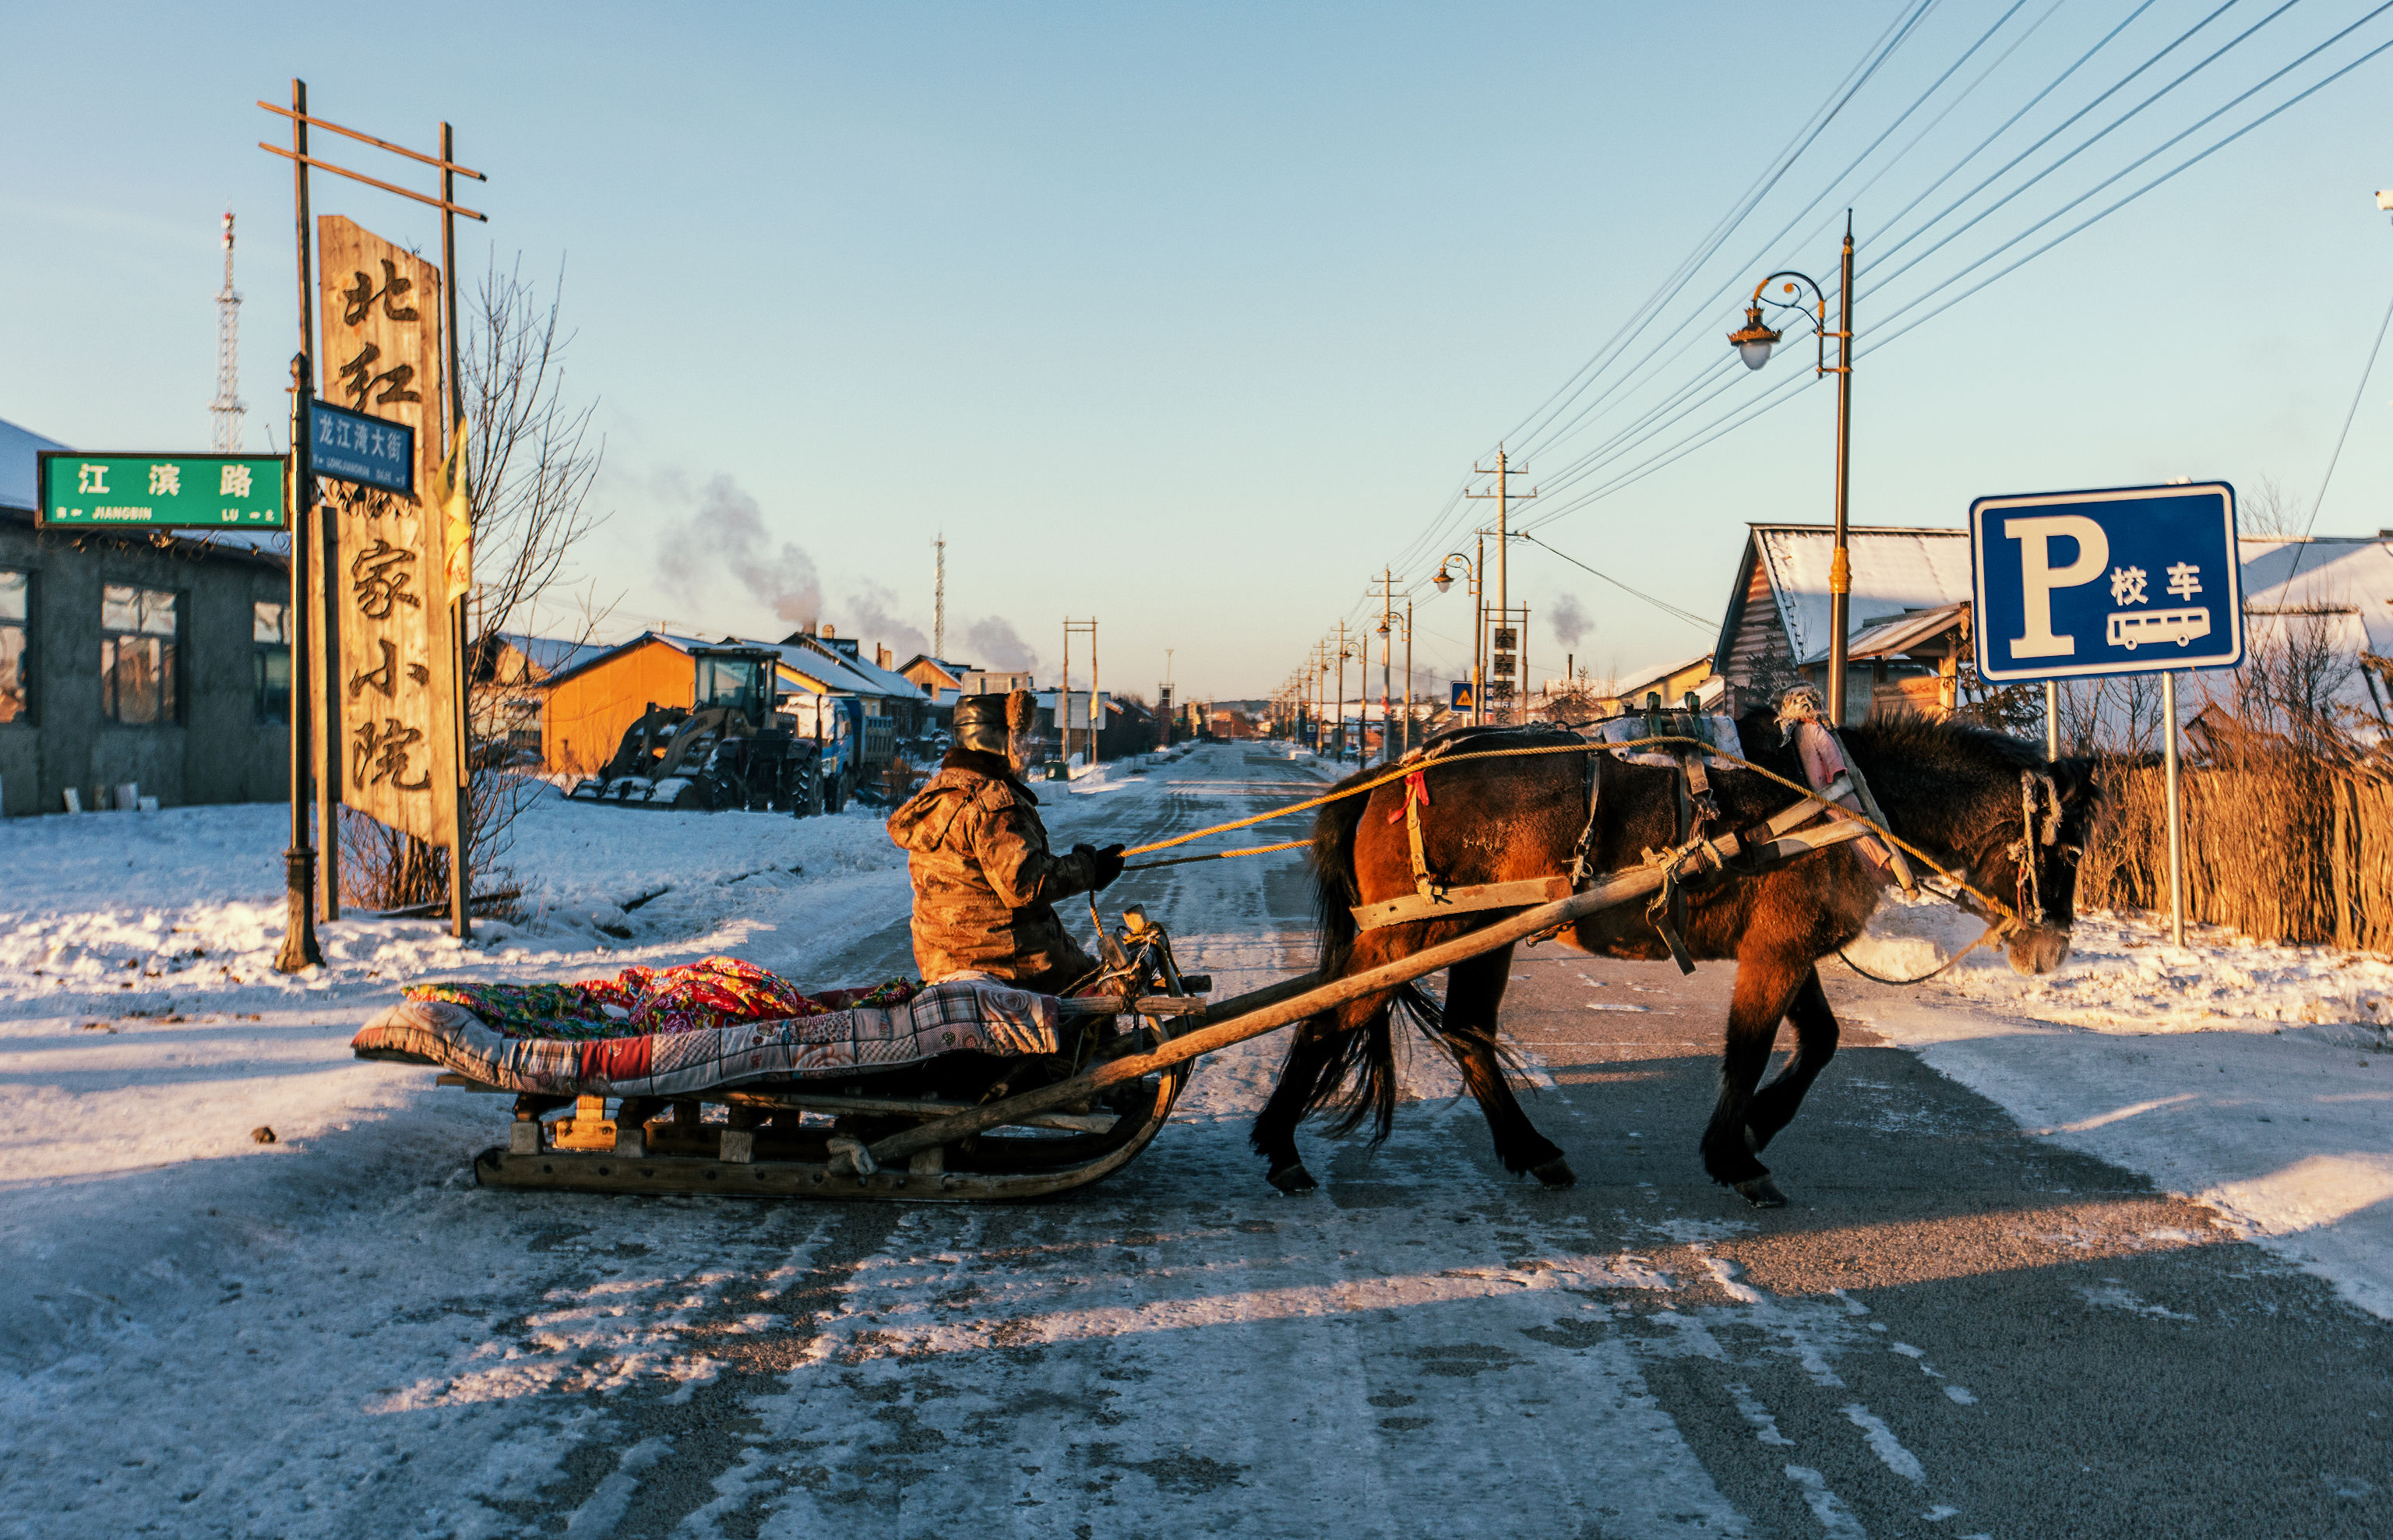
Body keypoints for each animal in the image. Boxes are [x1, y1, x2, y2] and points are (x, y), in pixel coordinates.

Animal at [1253, 717, 2096, 1210]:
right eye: (2062, 848)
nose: (2051, 949)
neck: (1833, 804)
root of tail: (1389, 776)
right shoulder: (1777, 950)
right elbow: (1749, 1048)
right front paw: (1735, 1156)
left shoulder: (1788, 947)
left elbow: (1820, 1040)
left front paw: (1758, 1125)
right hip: (1411, 937)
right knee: (1330, 1019)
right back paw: (1282, 1147)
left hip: (1480, 935)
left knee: (1464, 1032)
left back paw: (1533, 1150)